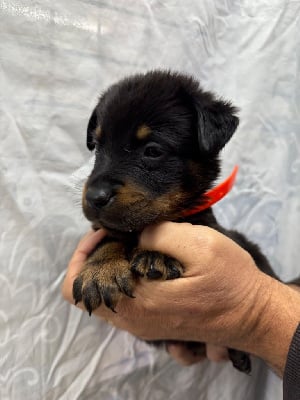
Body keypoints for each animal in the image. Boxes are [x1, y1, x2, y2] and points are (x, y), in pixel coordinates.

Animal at [72, 70, 278, 374]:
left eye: (152, 150)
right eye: (97, 147)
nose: (95, 197)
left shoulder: (207, 227)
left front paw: (157, 255)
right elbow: (111, 233)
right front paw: (101, 269)